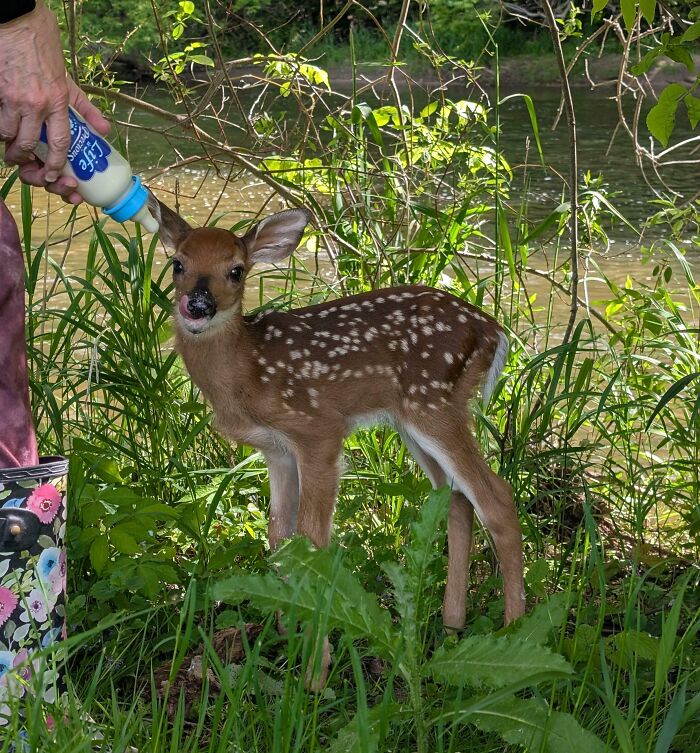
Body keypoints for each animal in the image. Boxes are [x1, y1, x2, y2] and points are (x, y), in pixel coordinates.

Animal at [147, 195, 526, 688]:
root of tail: (494, 332)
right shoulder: (276, 449)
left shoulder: (318, 431)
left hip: (433, 403)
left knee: (495, 495)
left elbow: (311, 541)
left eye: (236, 270)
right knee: (456, 496)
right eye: (178, 263)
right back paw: (451, 625)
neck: (247, 372)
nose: (197, 305)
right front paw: (287, 628)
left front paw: (315, 671)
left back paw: (515, 633)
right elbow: (278, 535)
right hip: (413, 420)